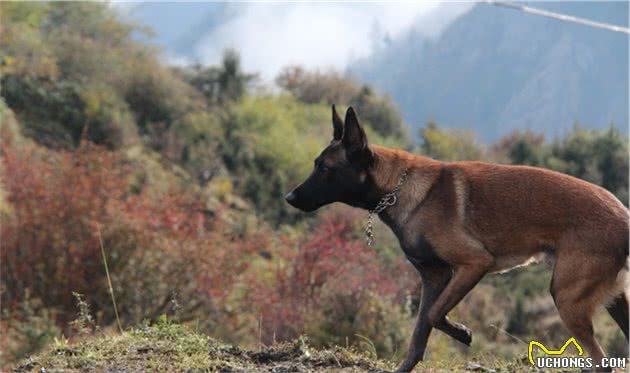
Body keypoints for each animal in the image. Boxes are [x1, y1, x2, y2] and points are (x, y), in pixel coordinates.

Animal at [288, 105, 630, 372]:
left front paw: (462, 332)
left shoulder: (473, 264)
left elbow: (435, 314)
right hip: (614, 300)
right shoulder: (433, 278)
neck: (398, 187)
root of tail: (622, 218)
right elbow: (419, 332)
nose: (289, 197)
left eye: (324, 168)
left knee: (602, 362)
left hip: (566, 296)